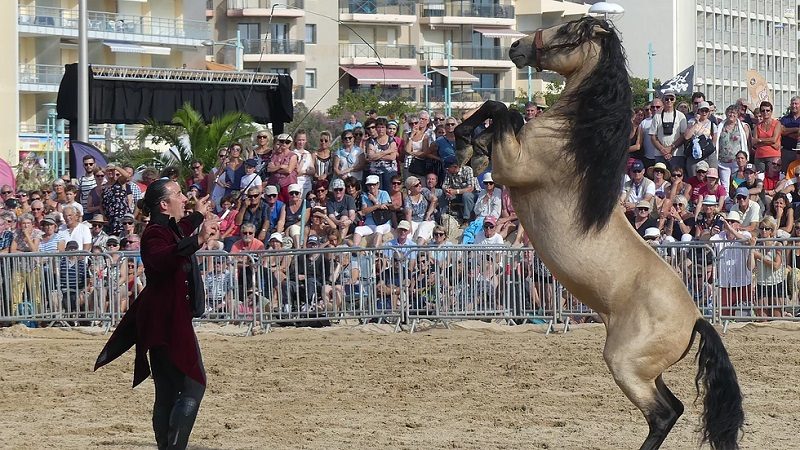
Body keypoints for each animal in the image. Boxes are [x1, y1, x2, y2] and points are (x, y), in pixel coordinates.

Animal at [454, 17, 748, 450]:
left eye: (565, 32)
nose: (516, 48)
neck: (567, 137)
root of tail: (696, 318)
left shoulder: (513, 167)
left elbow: (501, 109)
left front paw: (464, 139)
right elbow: (506, 117)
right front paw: (468, 142)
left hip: (625, 364)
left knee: (662, 414)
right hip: (647, 371)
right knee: (675, 407)